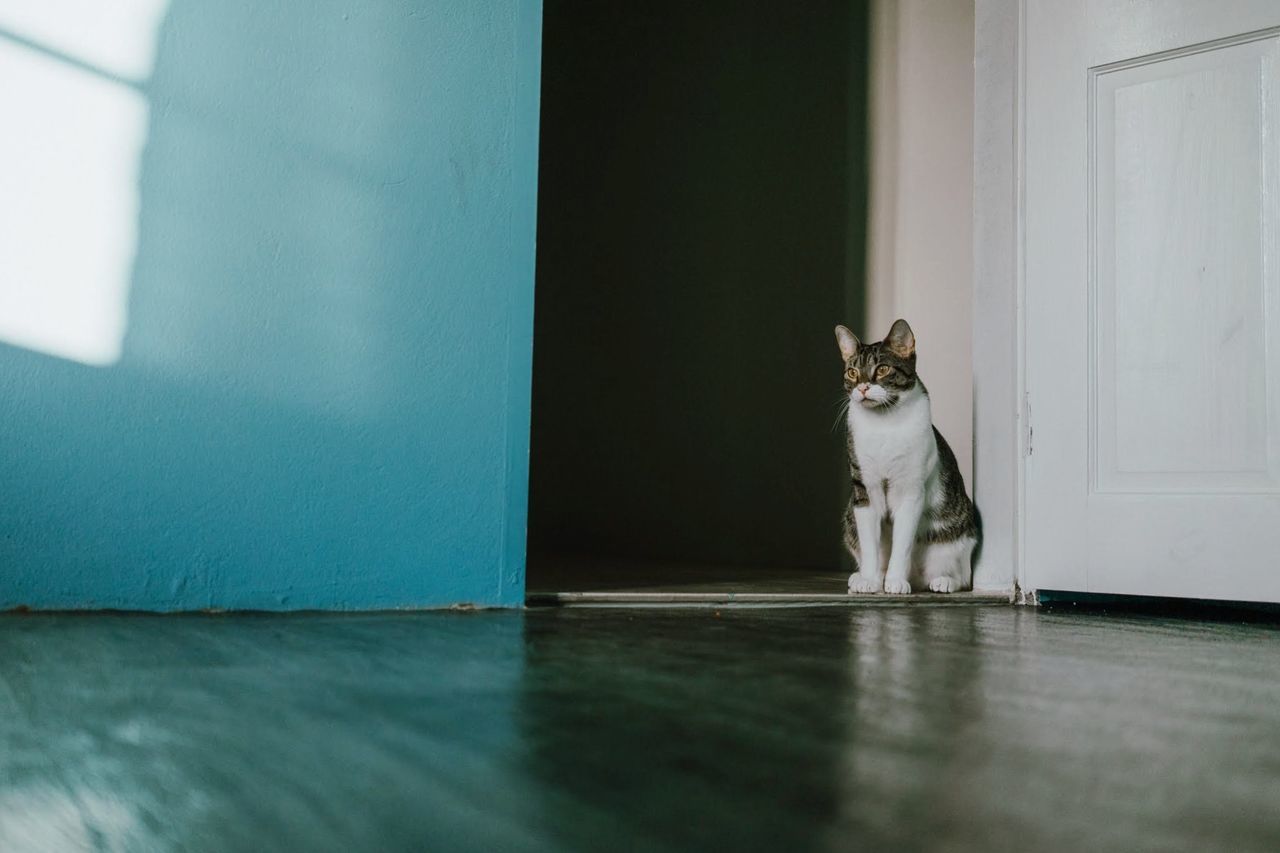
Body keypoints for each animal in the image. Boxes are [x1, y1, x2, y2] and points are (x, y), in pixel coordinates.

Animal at [839, 318, 977, 591]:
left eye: (882, 369)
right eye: (852, 372)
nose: (862, 387)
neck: (883, 424)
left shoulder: (910, 490)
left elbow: (902, 545)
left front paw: (895, 582)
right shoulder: (864, 490)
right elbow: (870, 545)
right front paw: (870, 580)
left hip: (957, 536)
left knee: (962, 574)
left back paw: (942, 581)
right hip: (850, 518)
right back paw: (864, 576)